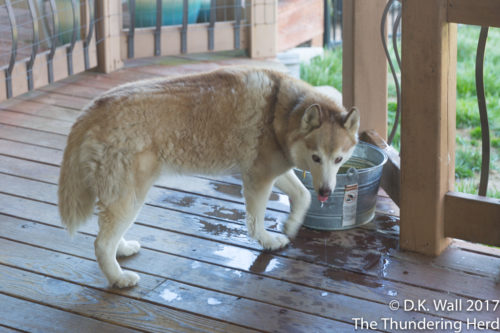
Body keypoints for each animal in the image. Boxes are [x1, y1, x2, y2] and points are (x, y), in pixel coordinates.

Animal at [58, 66, 360, 286]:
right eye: (316, 158)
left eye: (339, 159)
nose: (326, 191)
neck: (281, 112)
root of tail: (94, 107)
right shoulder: (258, 178)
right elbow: (256, 222)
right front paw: (268, 240)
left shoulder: (277, 169)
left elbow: (303, 195)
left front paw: (292, 224)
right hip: (130, 196)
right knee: (101, 244)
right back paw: (119, 278)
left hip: (120, 197)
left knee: (107, 234)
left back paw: (122, 249)